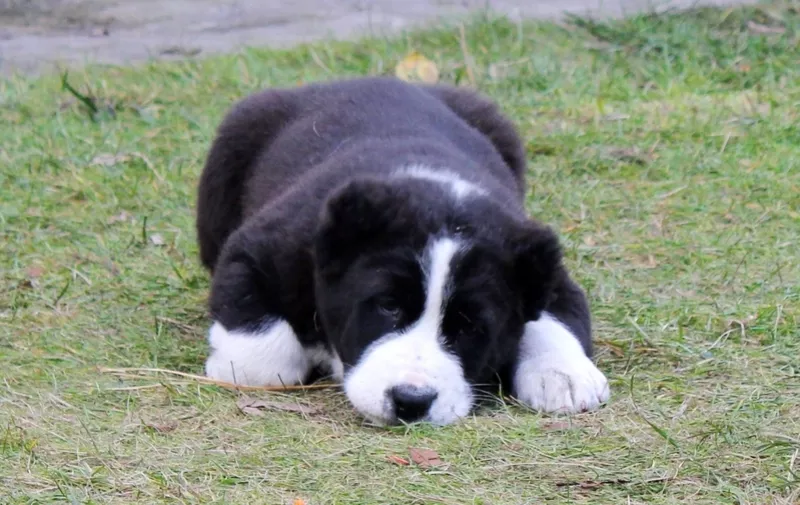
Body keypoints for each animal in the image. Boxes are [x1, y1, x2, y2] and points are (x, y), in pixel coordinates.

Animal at [197, 78, 608, 426]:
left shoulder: (543, 270)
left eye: (471, 326)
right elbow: (262, 361)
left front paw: (565, 375)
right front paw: (230, 363)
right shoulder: (260, 250)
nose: (411, 400)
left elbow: (554, 318)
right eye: (388, 306)